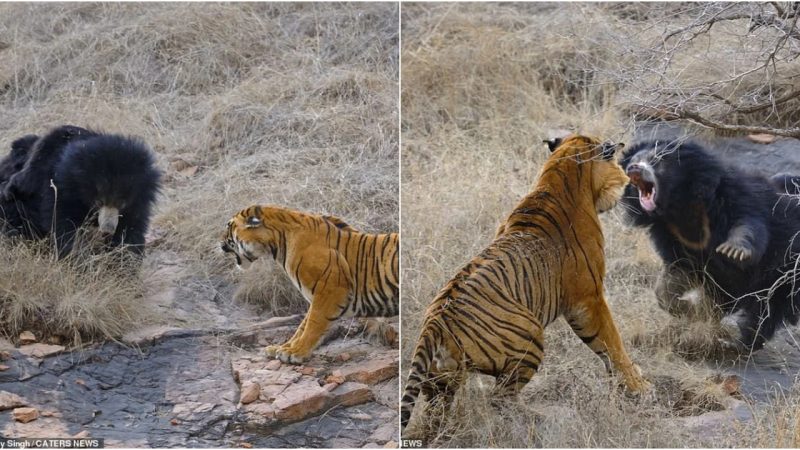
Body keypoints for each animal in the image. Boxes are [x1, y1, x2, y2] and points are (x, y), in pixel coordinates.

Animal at [0, 125, 161, 256]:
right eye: (98, 201)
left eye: (122, 203)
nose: (108, 229)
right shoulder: (60, 192)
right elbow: (65, 227)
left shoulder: (138, 203)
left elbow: (130, 231)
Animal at [220, 206, 398, 364]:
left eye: (229, 226)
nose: (220, 243)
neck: (279, 244)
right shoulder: (317, 297)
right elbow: (302, 326)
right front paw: (281, 348)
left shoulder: (329, 291)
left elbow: (313, 324)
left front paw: (295, 353)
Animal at [404, 133, 652, 432]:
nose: (627, 180)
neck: (558, 176)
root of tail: (434, 324)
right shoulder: (589, 299)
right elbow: (612, 344)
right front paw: (639, 386)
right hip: (530, 336)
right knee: (500, 398)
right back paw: (540, 418)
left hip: (441, 382)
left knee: (436, 414)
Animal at [620, 139, 800, 350]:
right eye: (634, 160)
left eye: (656, 160)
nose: (633, 168)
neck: (678, 206)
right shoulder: (672, 236)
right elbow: (676, 274)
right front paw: (689, 309)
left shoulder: (736, 196)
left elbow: (748, 224)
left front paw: (733, 251)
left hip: (784, 274)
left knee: (765, 312)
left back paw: (736, 342)